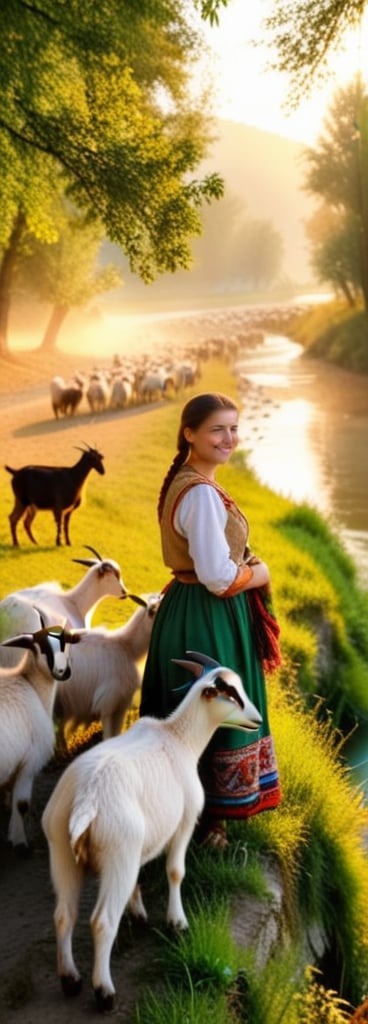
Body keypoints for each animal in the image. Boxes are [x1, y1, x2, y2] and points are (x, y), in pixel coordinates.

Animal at [0, 622, 80, 847]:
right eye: (42, 648)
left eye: (65, 641)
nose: (63, 671)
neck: (31, 685)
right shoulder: (30, 759)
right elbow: (21, 804)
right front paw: (20, 842)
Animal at [41, 651, 262, 1011]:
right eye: (230, 693)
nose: (256, 719)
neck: (179, 738)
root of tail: (88, 797)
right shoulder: (185, 822)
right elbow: (175, 872)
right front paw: (177, 922)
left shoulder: (141, 845)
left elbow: (141, 875)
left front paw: (139, 912)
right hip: (117, 853)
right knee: (101, 922)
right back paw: (104, 992)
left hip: (62, 850)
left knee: (63, 915)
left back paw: (70, 980)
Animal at [55, 593, 161, 745]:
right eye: (152, 611)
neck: (128, 648)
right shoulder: (108, 702)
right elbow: (108, 736)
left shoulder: (121, 704)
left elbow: (116, 735)